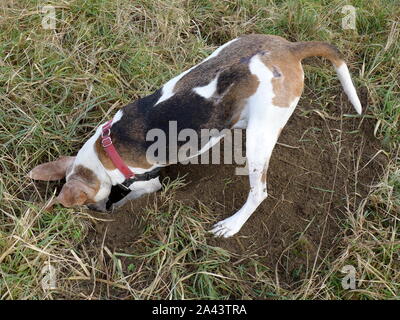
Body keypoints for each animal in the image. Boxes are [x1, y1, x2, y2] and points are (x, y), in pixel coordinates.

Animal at [28, 34, 362, 238]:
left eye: (86, 204)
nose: (100, 211)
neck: (103, 151)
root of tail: (289, 48)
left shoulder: (148, 183)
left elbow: (135, 194)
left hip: (260, 136)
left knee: (259, 192)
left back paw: (232, 225)